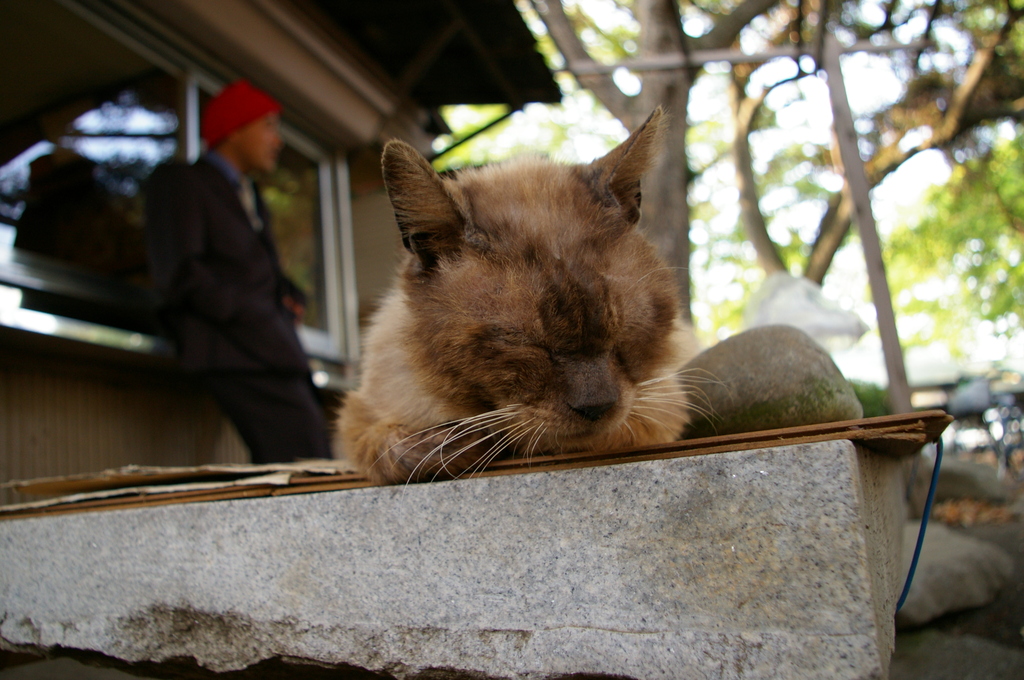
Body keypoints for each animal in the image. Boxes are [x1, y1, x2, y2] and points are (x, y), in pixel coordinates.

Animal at [335, 109, 704, 483]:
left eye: (626, 329)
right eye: (521, 341)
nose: (596, 407)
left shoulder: (658, 404)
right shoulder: (361, 415)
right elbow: (398, 450)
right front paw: (458, 441)